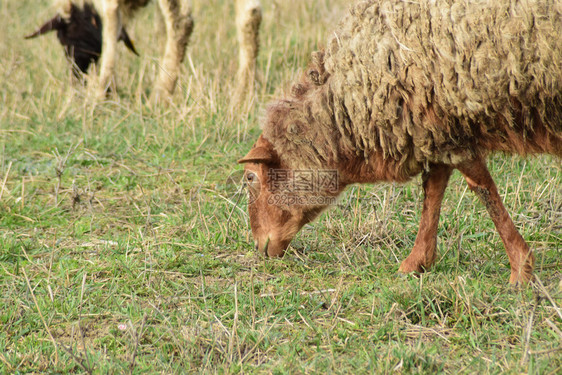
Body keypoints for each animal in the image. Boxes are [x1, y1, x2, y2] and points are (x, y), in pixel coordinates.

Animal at [237, 0, 560, 284]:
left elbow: (481, 188)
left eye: (251, 177)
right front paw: (417, 262)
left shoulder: (446, 126)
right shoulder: (434, 127)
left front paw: (520, 268)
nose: (260, 246)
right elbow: (434, 190)